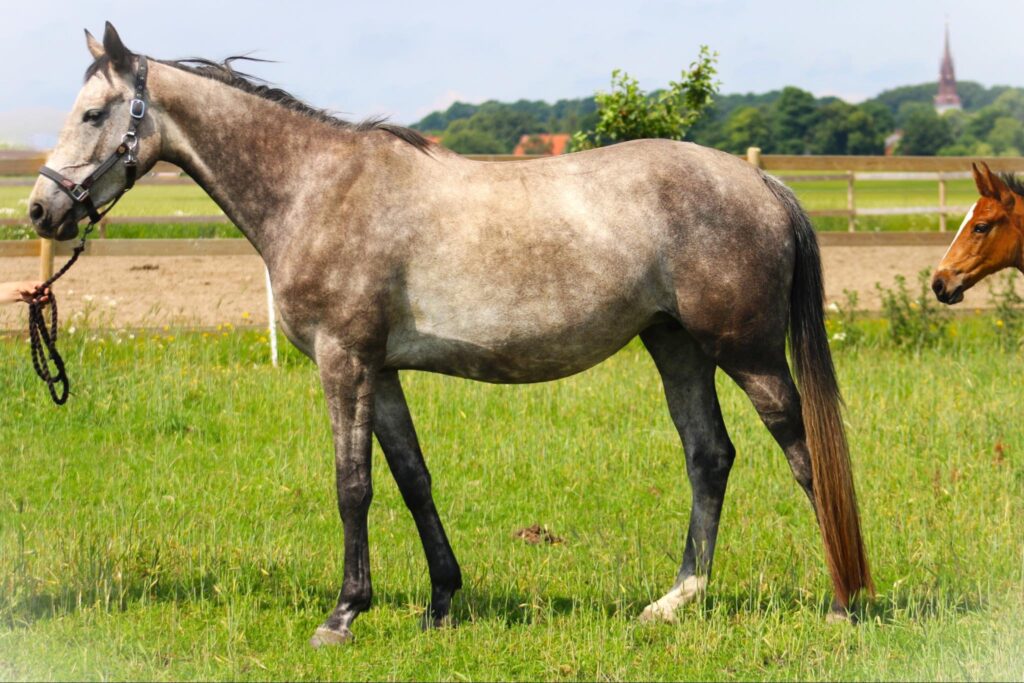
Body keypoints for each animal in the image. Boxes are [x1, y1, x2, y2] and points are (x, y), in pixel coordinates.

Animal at [25, 22, 872, 647]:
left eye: (94, 114)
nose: (40, 210)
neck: (316, 188)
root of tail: (762, 180)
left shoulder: (343, 362)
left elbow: (353, 485)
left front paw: (342, 615)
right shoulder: (382, 370)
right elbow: (412, 478)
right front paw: (439, 602)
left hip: (747, 354)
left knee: (804, 454)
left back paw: (843, 602)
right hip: (676, 346)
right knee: (709, 456)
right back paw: (674, 601)